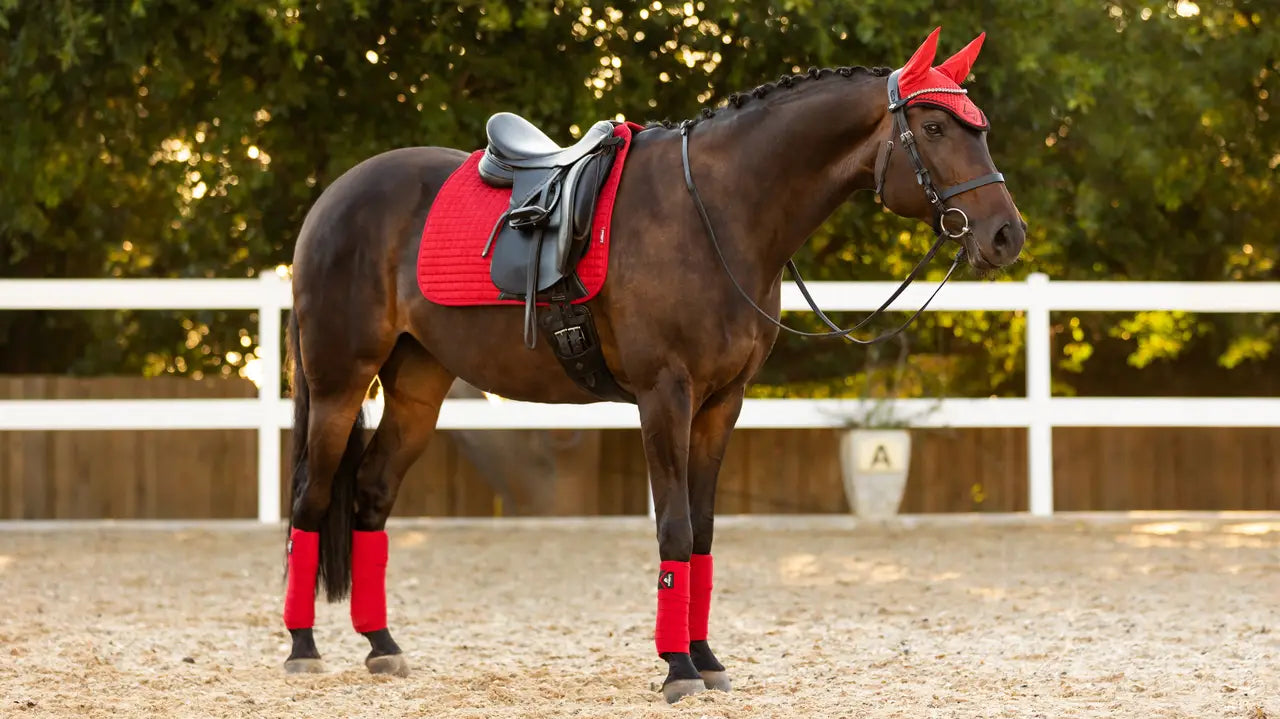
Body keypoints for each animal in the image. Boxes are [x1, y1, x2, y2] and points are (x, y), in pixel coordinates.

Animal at [278, 26, 1025, 704]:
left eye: (981, 131)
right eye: (934, 126)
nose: (1005, 236)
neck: (718, 212)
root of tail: (334, 197)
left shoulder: (723, 401)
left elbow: (703, 529)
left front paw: (706, 657)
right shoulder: (666, 394)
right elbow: (674, 525)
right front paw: (678, 668)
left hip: (417, 386)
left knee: (372, 492)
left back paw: (382, 645)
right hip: (339, 381)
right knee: (311, 497)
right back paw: (303, 649)